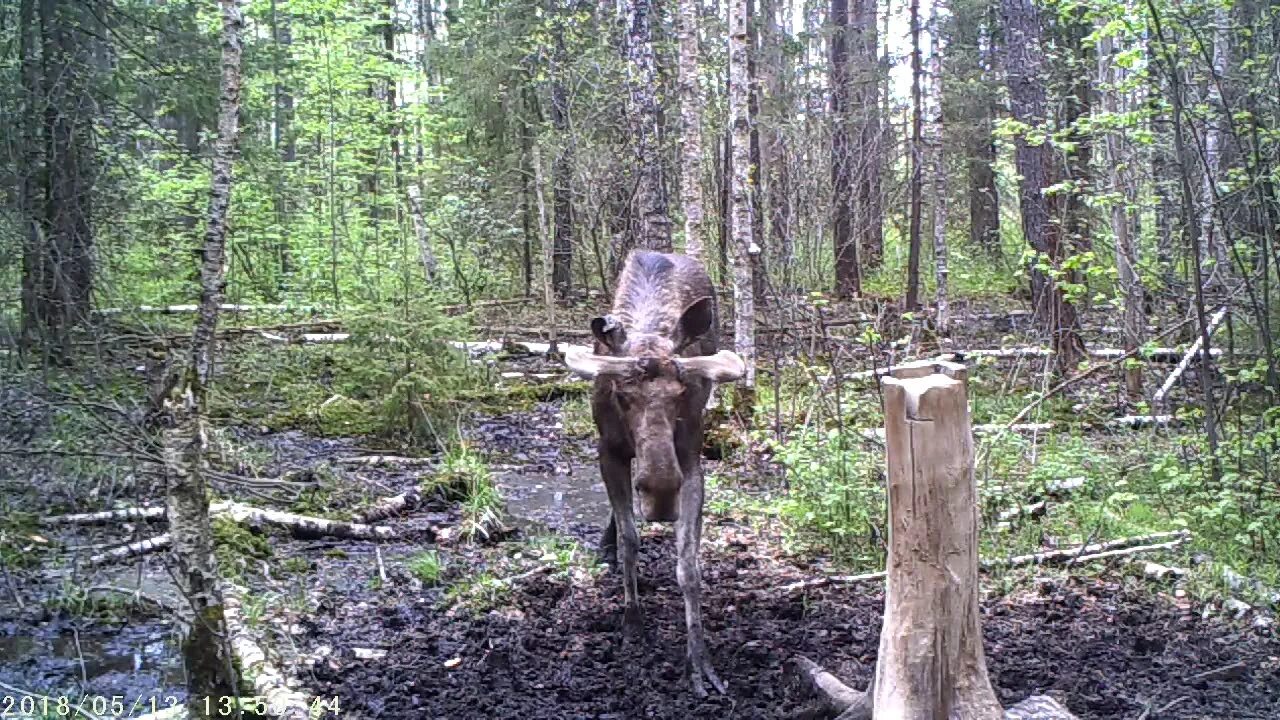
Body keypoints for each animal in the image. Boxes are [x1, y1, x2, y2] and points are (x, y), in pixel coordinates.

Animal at [563, 249, 747, 691]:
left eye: (681, 393)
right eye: (621, 393)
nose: (661, 496)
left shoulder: (692, 458)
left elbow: (688, 564)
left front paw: (698, 657)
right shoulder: (608, 451)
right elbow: (631, 539)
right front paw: (632, 623)